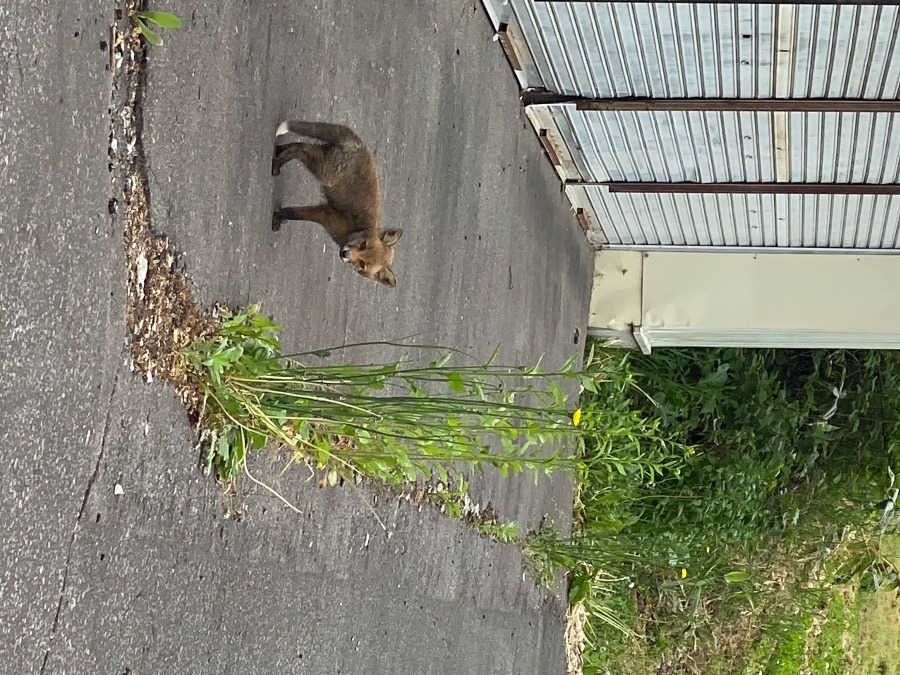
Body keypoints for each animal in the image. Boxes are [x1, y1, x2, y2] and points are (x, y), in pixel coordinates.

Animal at [270, 120, 404, 286]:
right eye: (363, 245)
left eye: (362, 264)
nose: (344, 253)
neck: (355, 229)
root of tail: (360, 144)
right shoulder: (324, 213)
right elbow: (292, 213)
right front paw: (277, 218)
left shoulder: (324, 211)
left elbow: (291, 213)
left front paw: (278, 218)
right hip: (323, 171)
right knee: (300, 149)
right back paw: (277, 164)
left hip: (323, 160)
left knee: (300, 145)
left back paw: (278, 153)